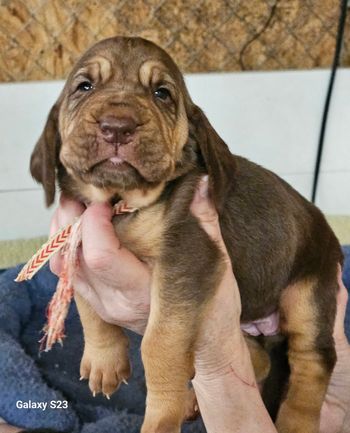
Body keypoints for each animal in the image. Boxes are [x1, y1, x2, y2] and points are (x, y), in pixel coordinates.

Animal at [30, 37, 342, 432]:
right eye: (84, 87)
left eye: (162, 93)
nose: (117, 126)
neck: (120, 204)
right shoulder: (80, 246)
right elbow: (89, 308)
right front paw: (104, 360)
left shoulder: (186, 260)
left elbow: (159, 343)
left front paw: (162, 417)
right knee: (260, 359)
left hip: (309, 291)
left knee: (313, 361)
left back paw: (294, 421)